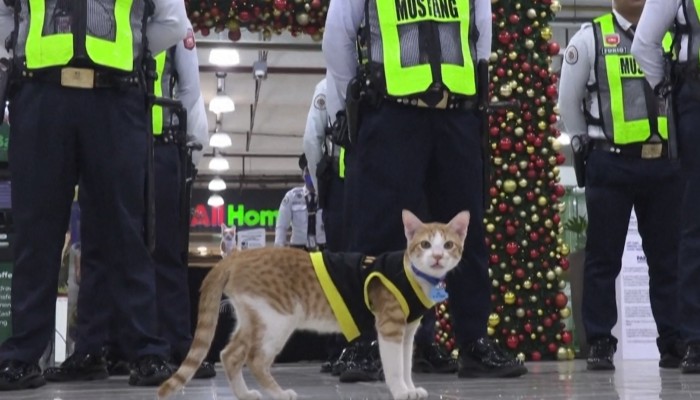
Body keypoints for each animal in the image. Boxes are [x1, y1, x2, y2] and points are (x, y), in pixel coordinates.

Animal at [156, 211, 468, 398]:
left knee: (229, 354)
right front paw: (401, 391)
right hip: (278, 319)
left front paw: (410, 388)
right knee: (254, 359)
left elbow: (405, 364)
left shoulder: (407, 331)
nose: (437, 257)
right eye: (425, 245)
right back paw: (279, 394)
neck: (412, 274)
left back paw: (245, 394)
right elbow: (394, 366)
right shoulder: (390, 326)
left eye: (448, 245)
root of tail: (238, 256)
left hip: (254, 317)